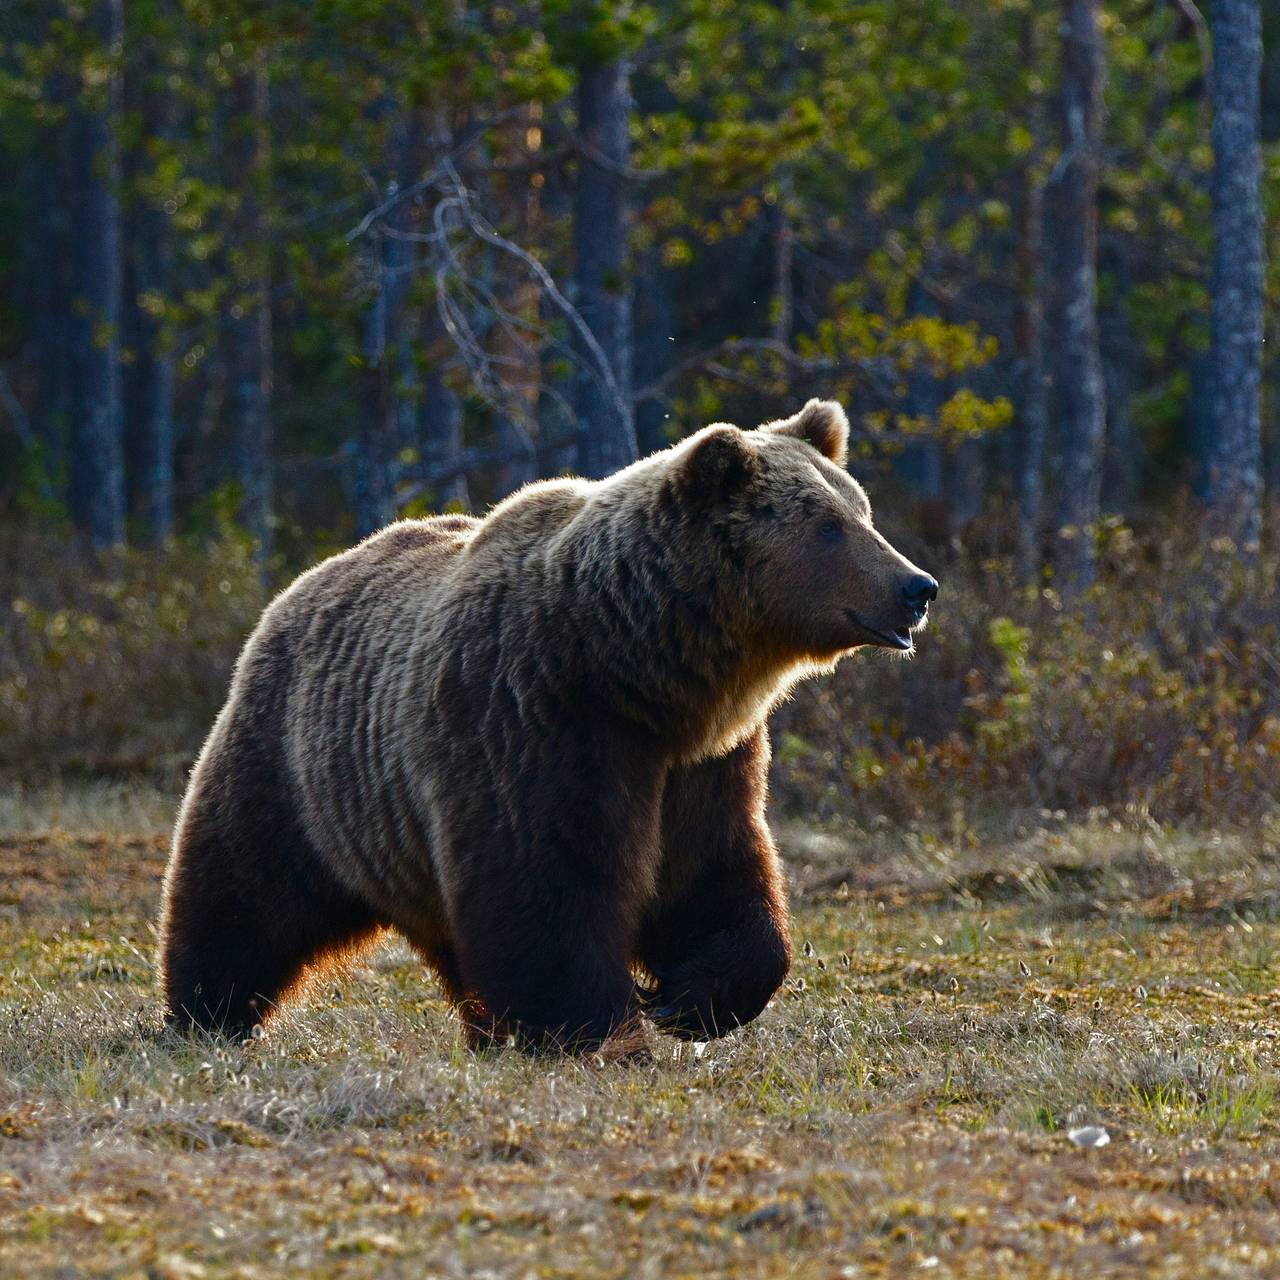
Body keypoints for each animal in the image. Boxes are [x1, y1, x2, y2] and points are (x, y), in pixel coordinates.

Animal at [160, 399, 942, 1049]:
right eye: (828, 526)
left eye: (862, 511)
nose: (918, 586)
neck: (636, 669)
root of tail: (302, 582)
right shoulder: (534, 721)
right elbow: (547, 885)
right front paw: (598, 1024)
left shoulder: (704, 762)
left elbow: (714, 873)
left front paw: (690, 997)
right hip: (299, 767)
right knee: (242, 892)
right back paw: (203, 1015)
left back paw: (484, 1029)